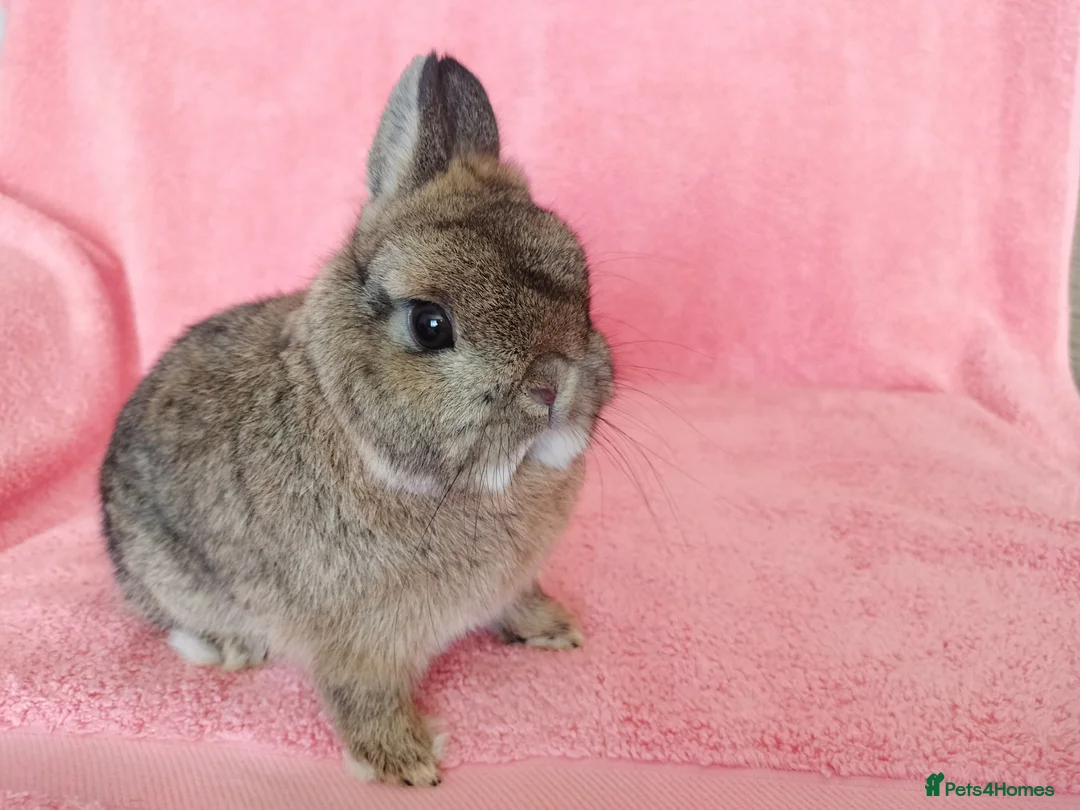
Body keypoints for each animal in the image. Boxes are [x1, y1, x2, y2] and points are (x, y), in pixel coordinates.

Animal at [99, 52, 615, 787]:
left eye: (584, 288)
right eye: (430, 325)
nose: (553, 385)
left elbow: (518, 600)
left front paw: (555, 629)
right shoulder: (355, 641)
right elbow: (362, 696)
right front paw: (407, 764)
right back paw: (227, 649)